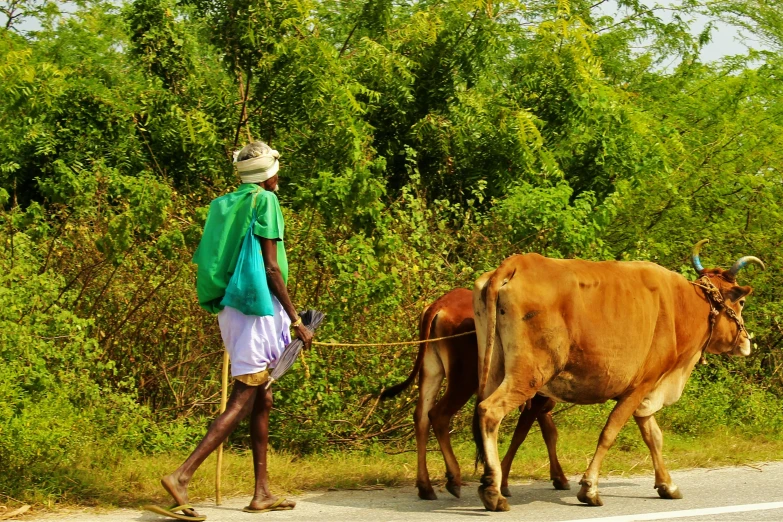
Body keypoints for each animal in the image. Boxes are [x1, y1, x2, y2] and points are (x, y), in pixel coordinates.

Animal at [382, 286, 568, 498]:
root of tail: (441, 304)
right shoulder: (534, 393)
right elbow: (521, 434)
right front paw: (504, 481)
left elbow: (549, 433)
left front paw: (559, 477)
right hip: (466, 378)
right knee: (438, 415)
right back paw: (453, 478)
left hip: (431, 370)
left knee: (421, 417)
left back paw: (426, 487)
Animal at [472, 242, 764, 510]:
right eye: (741, 302)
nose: (746, 342)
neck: (682, 306)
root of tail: (516, 263)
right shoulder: (641, 386)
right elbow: (610, 433)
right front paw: (589, 488)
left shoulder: (646, 392)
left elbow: (654, 436)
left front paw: (667, 484)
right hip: (530, 374)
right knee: (491, 411)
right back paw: (494, 492)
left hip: (494, 368)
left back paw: (491, 484)